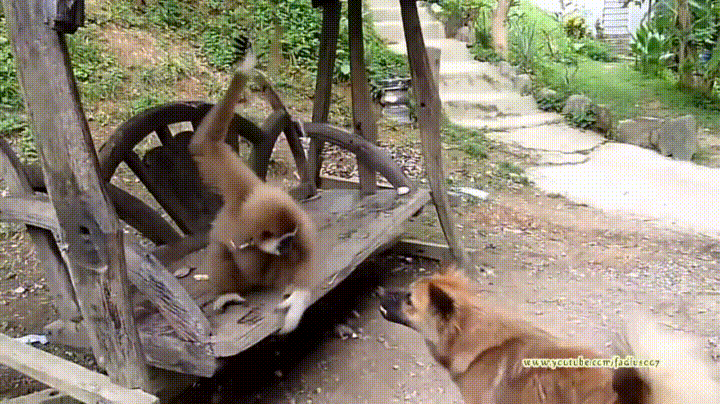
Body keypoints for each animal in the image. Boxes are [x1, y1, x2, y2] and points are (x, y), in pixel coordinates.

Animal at [186, 53, 320, 334]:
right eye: (283, 240)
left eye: (291, 238)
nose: (288, 246)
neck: (252, 233)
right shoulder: (241, 191)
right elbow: (205, 145)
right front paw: (244, 70)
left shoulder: (297, 218)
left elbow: (307, 253)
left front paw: (298, 299)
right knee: (220, 249)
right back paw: (228, 293)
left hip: (271, 277)